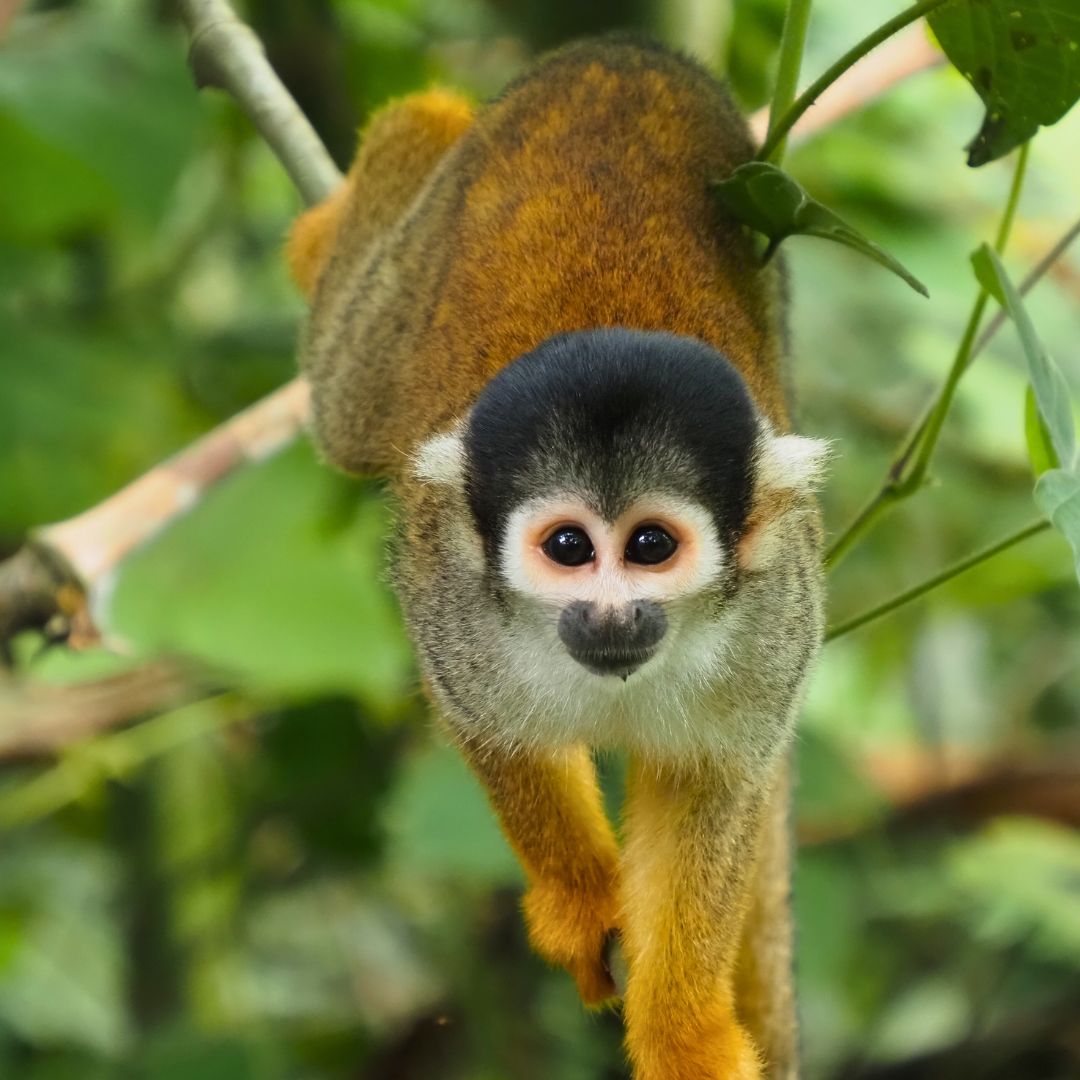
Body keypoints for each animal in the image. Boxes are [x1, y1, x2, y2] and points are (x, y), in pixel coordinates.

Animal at [287, 36, 827, 1080]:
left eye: (651, 547)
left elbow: (715, 783)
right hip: (403, 297)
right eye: (569, 548)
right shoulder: (449, 594)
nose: (611, 612)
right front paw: (580, 903)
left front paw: (683, 1028)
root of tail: (617, 55)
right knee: (345, 403)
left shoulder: (778, 612)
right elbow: (496, 732)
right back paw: (398, 153)